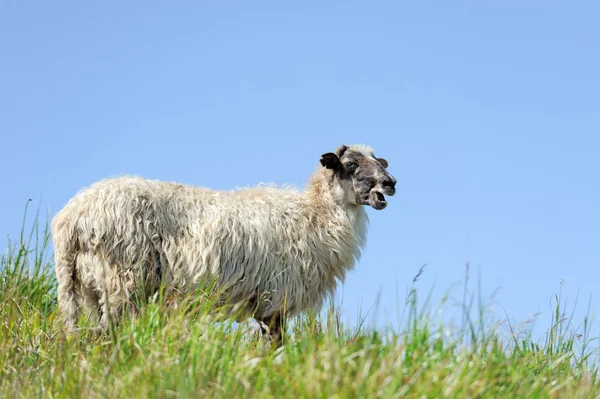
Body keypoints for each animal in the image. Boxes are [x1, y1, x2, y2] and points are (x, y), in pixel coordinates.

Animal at [51, 145, 396, 346]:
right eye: (349, 164)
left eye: (379, 162)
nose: (390, 183)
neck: (314, 216)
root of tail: (70, 220)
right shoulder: (275, 298)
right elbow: (274, 346)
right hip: (122, 278)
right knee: (106, 334)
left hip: (88, 287)